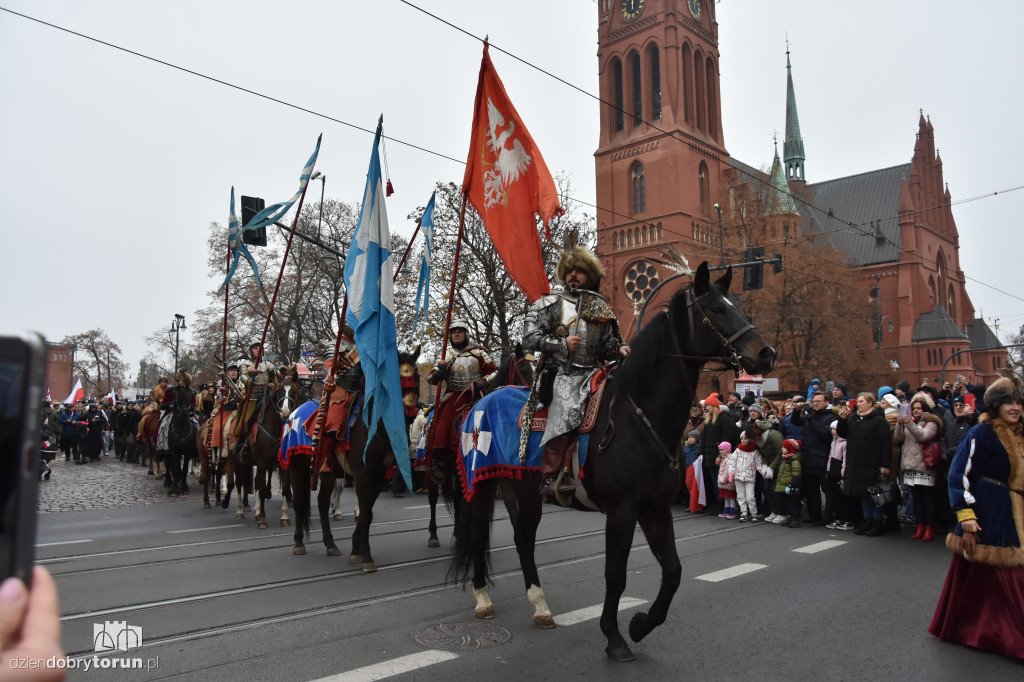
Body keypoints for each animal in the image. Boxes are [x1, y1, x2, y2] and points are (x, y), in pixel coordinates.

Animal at [448, 261, 774, 659]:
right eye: (716, 309)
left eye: (740, 306)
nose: (766, 354)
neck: (641, 415)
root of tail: (481, 400)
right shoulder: (622, 511)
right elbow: (615, 575)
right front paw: (614, 636)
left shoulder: (655, 510)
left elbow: (673, 571)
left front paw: (640, 625)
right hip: (481, 487)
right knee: (477, 536)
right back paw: (483, 600)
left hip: (523, 492)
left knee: (523, 539)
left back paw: (541, 607)